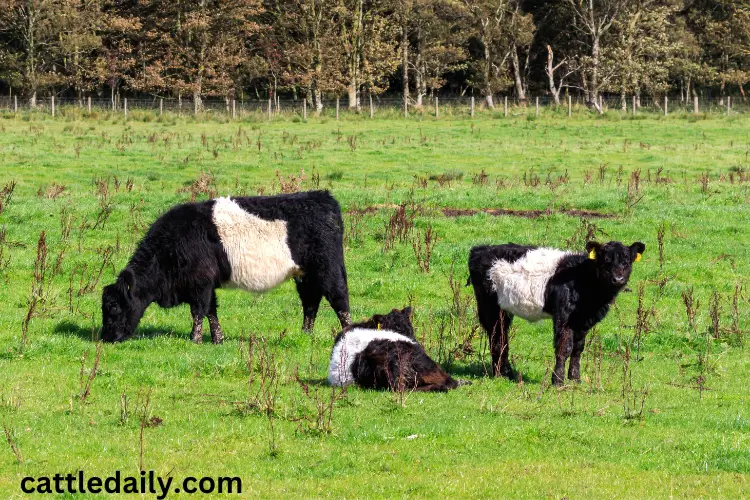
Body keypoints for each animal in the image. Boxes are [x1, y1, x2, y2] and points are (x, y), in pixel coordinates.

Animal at [100, 189, 356, 342]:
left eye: (113, 307)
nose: (106, 337)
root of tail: (322, 196)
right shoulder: (206, 284)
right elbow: (212, 311)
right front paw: (217, 339)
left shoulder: (200, 283)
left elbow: (199, 311)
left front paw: (195, 339)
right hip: (305, 274)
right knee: (310, 302)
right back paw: (305, 334)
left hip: (328, 268)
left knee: (339, 299)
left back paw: (347, 333)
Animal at [470, 240, 648, 384]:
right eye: (606, 261)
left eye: (627, 261)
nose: (618, 279)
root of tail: (481, 248)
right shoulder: (564, 316)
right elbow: (564, 347)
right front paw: (558, 380)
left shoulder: (583, 320)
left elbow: (578, 348)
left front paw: (575, 379)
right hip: (489, 306)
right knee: (496, 337)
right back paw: (501, 374)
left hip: (503, 310)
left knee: (501, 335)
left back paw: (506, 374)